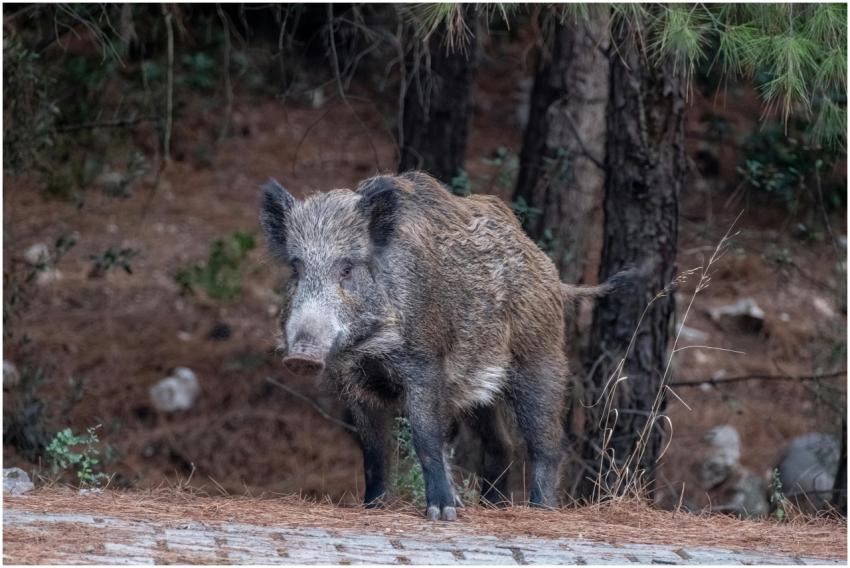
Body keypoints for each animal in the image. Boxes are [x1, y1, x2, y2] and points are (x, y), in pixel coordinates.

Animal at [261, 171, 577, 521]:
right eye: (296, 268)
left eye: (347, 268)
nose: (301, 356)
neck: (371, 349)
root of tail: (545, 264)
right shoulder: (355, 383)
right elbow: (373, 450)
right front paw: (373, 507)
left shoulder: (425, 365)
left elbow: (425, 437)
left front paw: (442, 514)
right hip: (477, 387)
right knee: (501, 443)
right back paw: (491, 506)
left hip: (540, 356)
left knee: (547, 443)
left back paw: (541, 509)